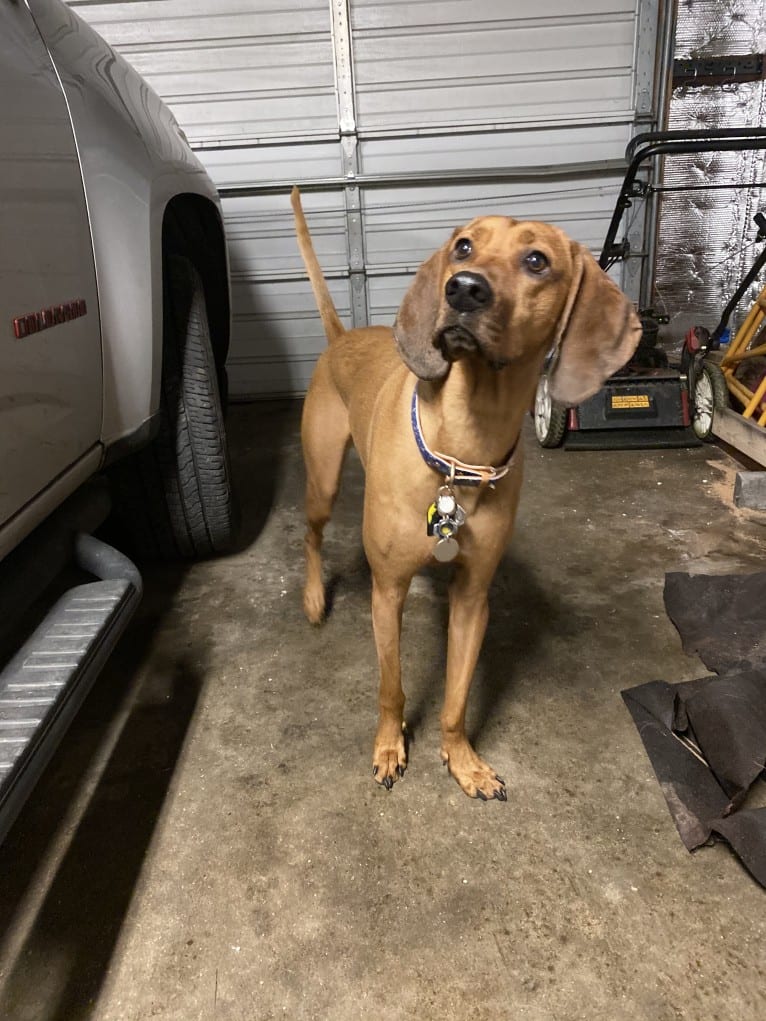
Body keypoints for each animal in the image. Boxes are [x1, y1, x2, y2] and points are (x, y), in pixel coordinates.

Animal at [290, 187, 637, 800]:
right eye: (465, 247)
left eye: (537, 261)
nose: (464, 288)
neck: (462, 450)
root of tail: (343, 336)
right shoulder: (388, 592)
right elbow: (392, 688)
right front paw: (389, 746)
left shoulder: (474, 598)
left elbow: (456, 698)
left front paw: (461, 759)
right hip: (324, 481)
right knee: (310, 534)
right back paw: (312, 597)